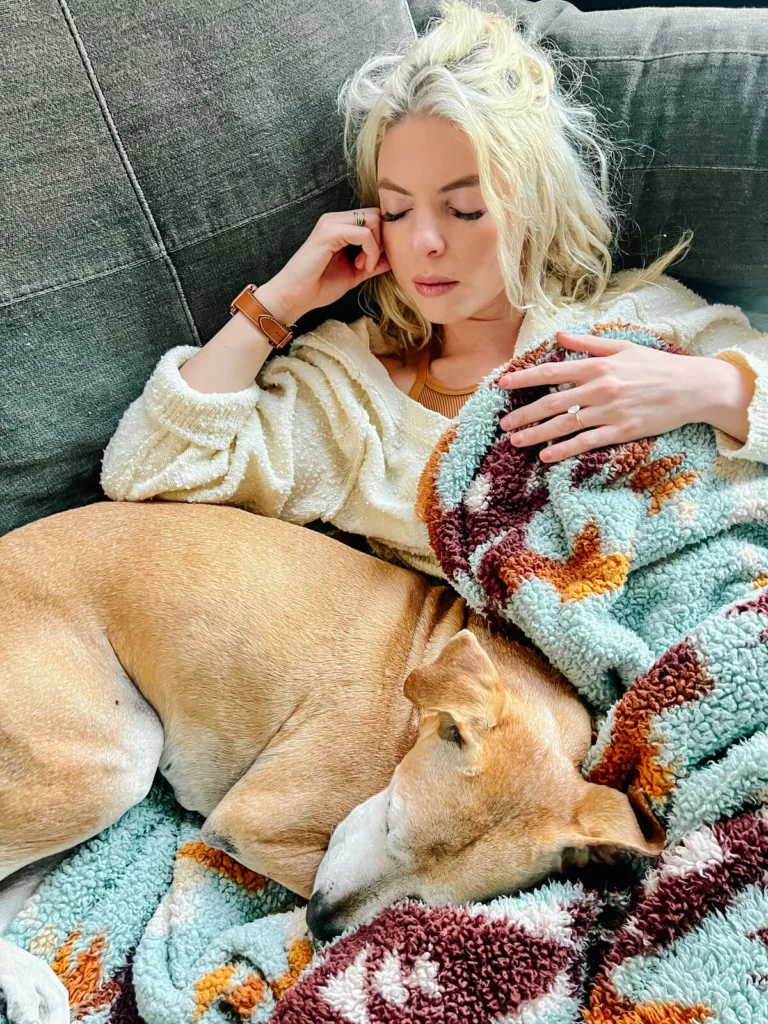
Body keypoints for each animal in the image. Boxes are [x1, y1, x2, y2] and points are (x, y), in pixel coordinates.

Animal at [0, 501, 663, 1024]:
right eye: (392, 821)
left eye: (424, 901)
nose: (320, 924)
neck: (419, 701)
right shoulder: (249, 822)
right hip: (119, 759)